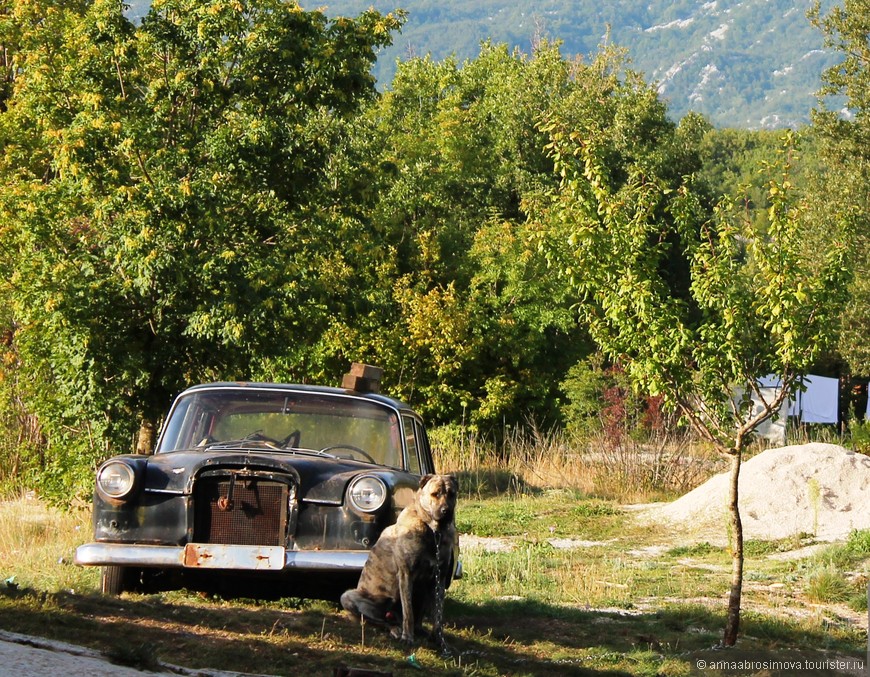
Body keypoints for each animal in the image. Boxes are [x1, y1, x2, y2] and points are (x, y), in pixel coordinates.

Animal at [340, 472, 460, 640]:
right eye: (435, 494)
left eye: (451, 494)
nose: (446, 511)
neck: (433, 531)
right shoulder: (406, 574)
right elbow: (408, 612)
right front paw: (408, 636)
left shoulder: (439, 578)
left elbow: (438, 613)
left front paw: (437, 638)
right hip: (348, 596)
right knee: (378, 621)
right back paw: (395, 629)